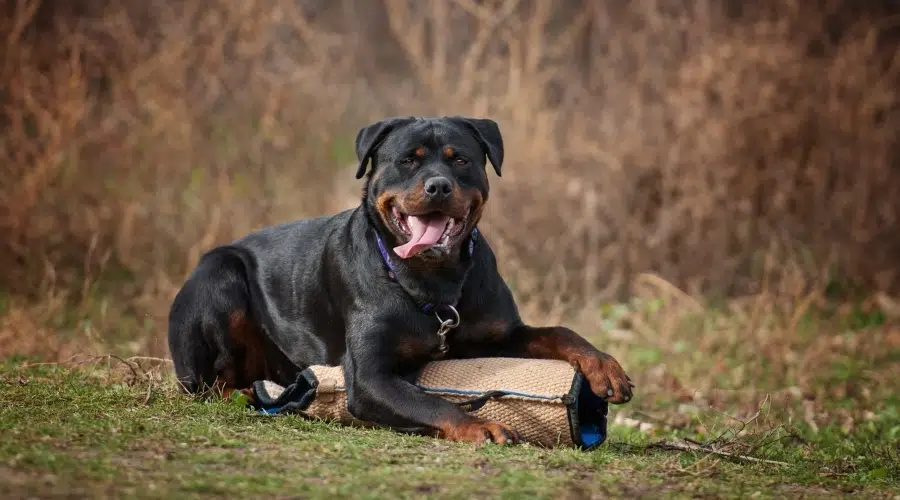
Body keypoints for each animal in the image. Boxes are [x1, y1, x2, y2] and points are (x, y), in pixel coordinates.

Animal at [169, 115, 632, 444]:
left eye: (460, 159)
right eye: (407, 160)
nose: (438, 186)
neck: (434, 279)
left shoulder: (498, 335)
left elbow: (559, 332)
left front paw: (604, 367)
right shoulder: (370, 378)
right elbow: (426, 401)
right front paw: (479, 425)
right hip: (219, 278)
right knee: (209, 383)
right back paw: (244, 393)